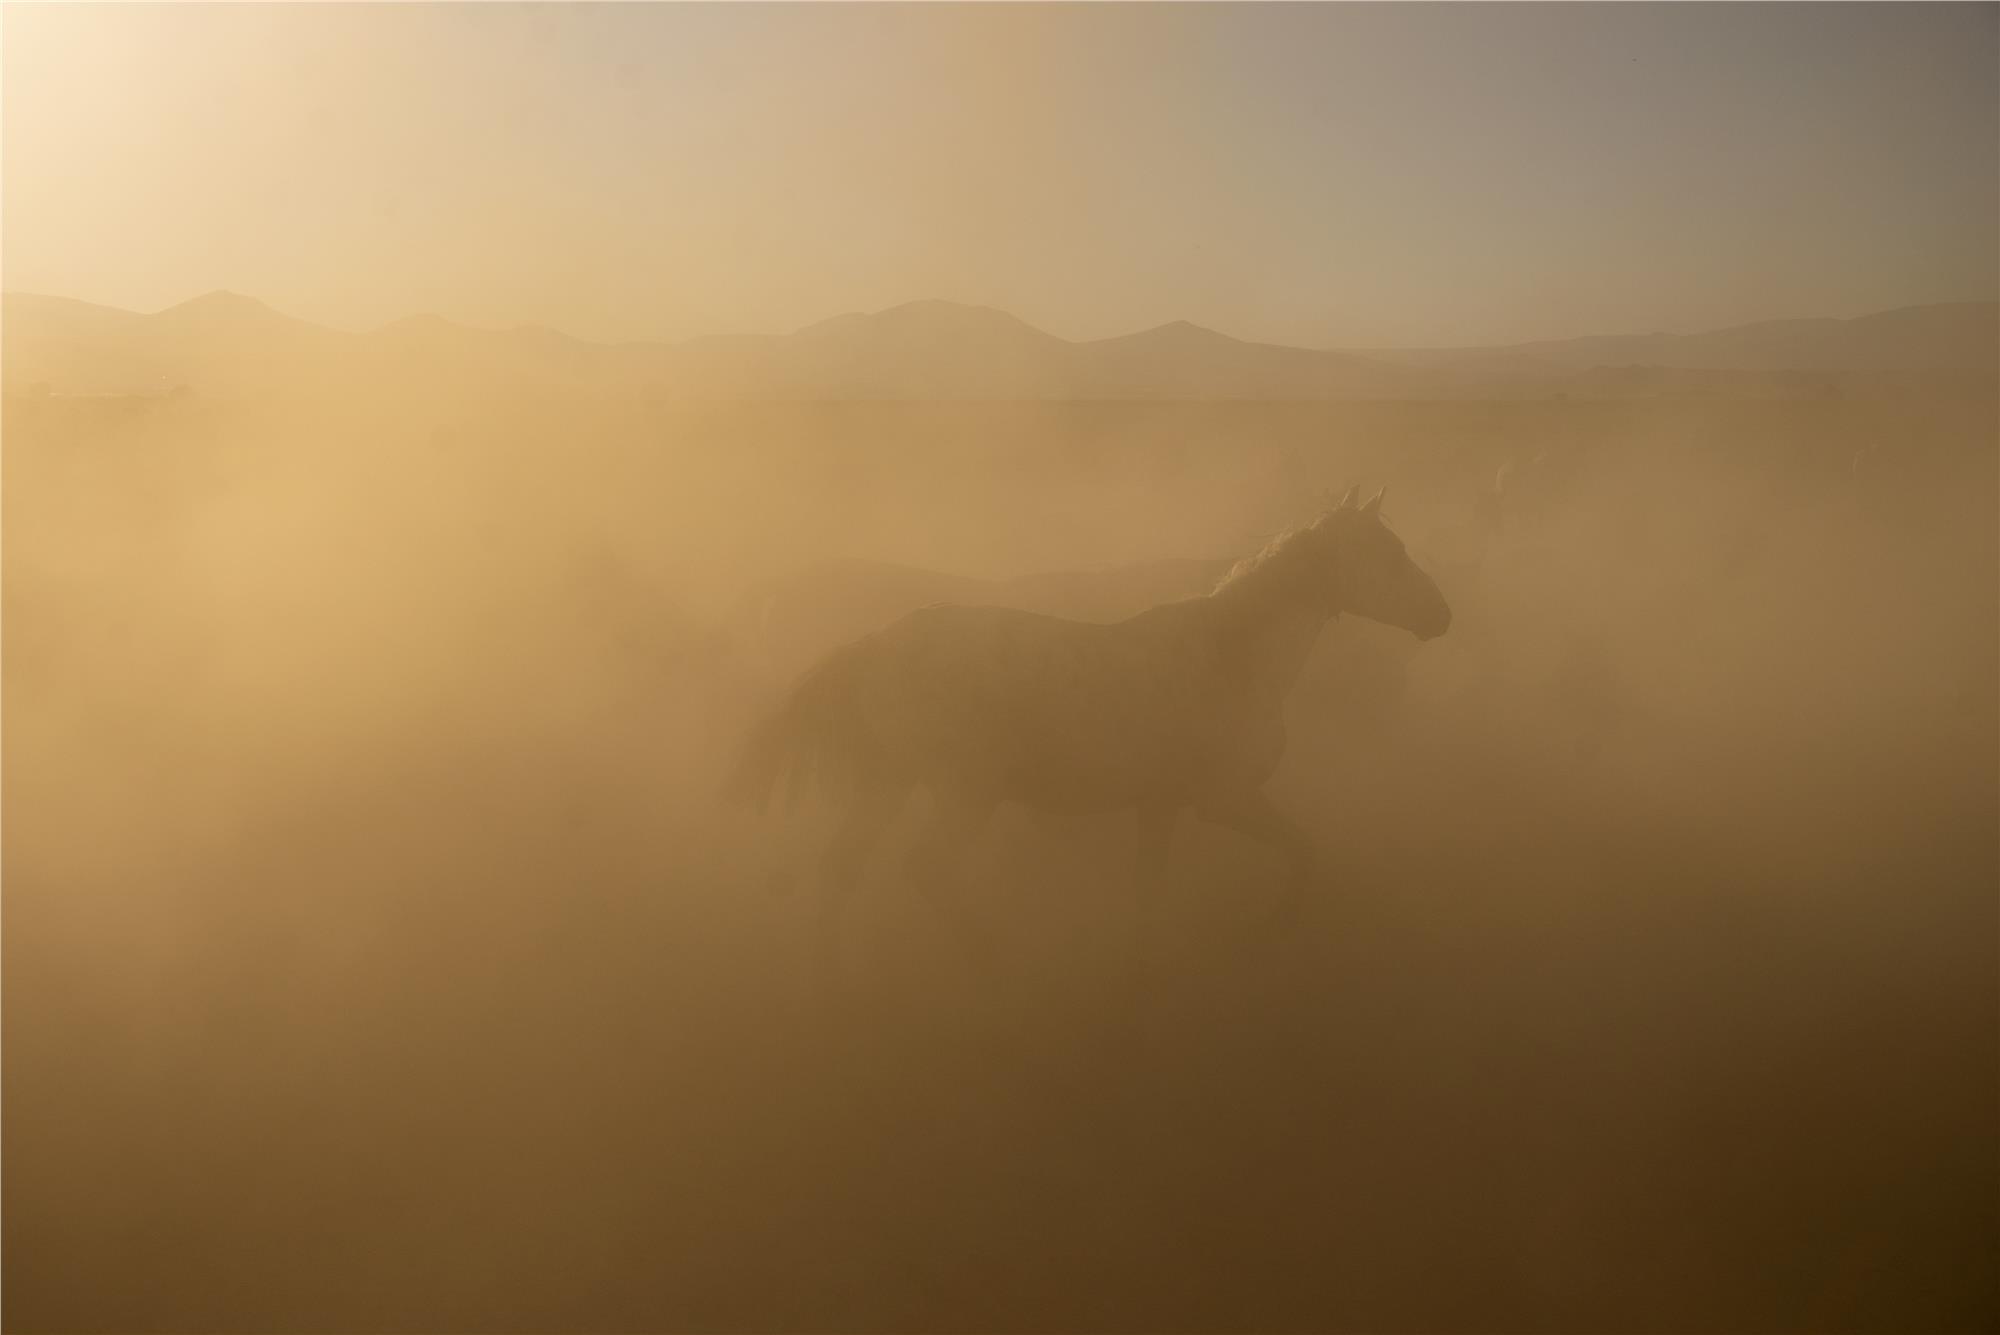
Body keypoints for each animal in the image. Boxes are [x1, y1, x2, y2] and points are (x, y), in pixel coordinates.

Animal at [728, 485, 1448, 987]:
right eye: (1385, 554)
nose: (1440, 615)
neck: (1232, 658)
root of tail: (876, 645)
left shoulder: (1161, 805)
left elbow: (1148, 887)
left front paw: (1142, 968)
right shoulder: (1225, 801)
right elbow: (1302, 851)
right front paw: (1271, 927)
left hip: (887, 784)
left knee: (841, 869)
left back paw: (832, 979)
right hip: (965, 793)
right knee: (926, 867)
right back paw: (993, 961)